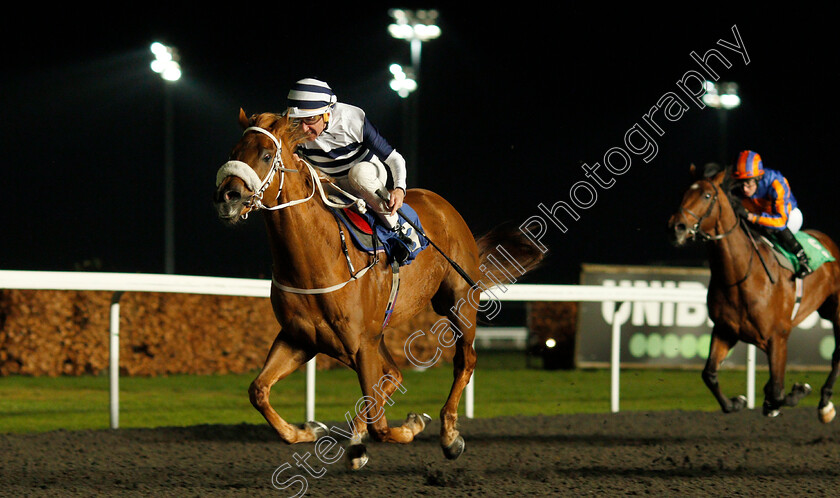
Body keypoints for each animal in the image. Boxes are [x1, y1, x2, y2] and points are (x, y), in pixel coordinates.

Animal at [213, 111, 540, 468]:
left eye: (266, 154)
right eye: (234, 150)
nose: (227, 198)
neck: (320, 257)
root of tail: (441, 204)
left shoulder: (360, 343)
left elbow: (380, 424)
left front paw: (411, 426)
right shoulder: (301, 339)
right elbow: (258, 390)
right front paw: (308, 430)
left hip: (457, 302)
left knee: (464, 360)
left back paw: (449, 435)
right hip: (375, 334)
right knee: (393, 375)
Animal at [668, 163, 840, 420]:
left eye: (707, 195)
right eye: (683, 193)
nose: (676, 227)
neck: (741, 277)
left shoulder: (778, 337)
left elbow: (778, 393)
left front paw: (797, 391)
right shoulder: (725, 331)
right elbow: (709, 374)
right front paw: (736, 402)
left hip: (836, 312)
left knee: (838, 353)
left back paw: (825, 403)